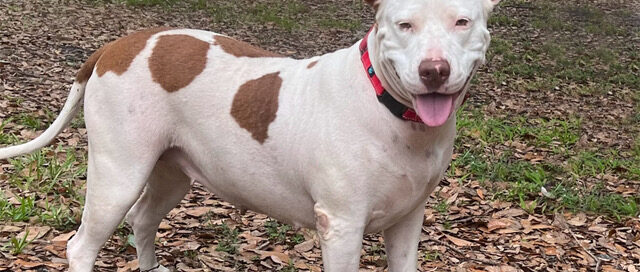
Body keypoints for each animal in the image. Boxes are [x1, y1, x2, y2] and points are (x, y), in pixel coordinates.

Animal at [0, 0, 500, 270]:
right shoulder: (341, 226)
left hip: (171, 174)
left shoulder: (407, 222)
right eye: (404, 25)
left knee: (142, 220)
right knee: (81, 246)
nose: (434, 70)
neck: (391, 109)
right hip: (118, 175)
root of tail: (114, 46)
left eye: (462, 21)